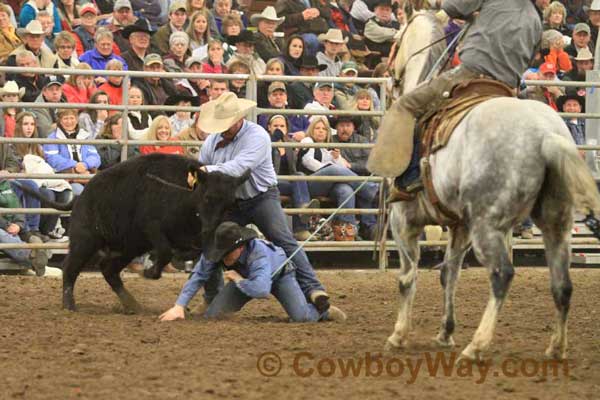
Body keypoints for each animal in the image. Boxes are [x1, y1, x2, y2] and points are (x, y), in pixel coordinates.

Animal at [380, 10, 600, 360]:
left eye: (396, 43)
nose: (388, 75)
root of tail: (545, 135)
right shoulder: (459, 226)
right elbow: (449, 274)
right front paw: (445, 333)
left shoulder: (404, 221)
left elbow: (407, 277)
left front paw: (399, 335)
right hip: (556, 223)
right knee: (562, 284)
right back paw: (556, 347)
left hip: (488, 227)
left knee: (502, 275)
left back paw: (477, 345)